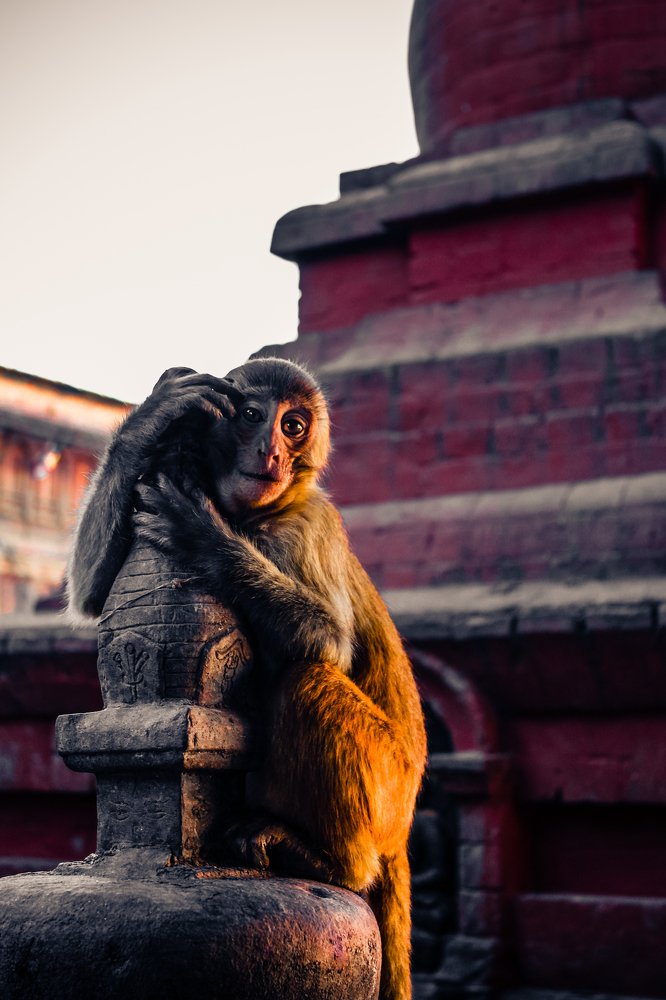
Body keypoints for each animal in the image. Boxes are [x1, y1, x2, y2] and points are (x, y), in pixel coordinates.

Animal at [67, 358, 427, 1000]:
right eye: (255, 415)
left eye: (294, 426)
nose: (274, 452)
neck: (252, 518)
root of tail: (402, 830)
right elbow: (89, 590)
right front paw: (151, 419)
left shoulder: (304, 526)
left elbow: (329, 643)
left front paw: (203, 537)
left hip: (386, 785)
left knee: (306, 680)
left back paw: (333, 865)